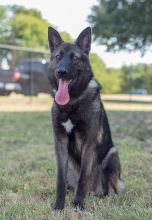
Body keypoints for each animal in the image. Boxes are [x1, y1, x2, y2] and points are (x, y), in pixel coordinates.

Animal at [47, 26, 124, 210]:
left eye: (74, 58)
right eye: (58, 56)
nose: (61, 72)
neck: (72, 101)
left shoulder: (88, 142)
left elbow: (83, 177)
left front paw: (78, 204)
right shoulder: (60, 142)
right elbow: (59, 179)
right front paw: (59, 205)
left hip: (112, 154)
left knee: (107, 190)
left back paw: (98, 196)